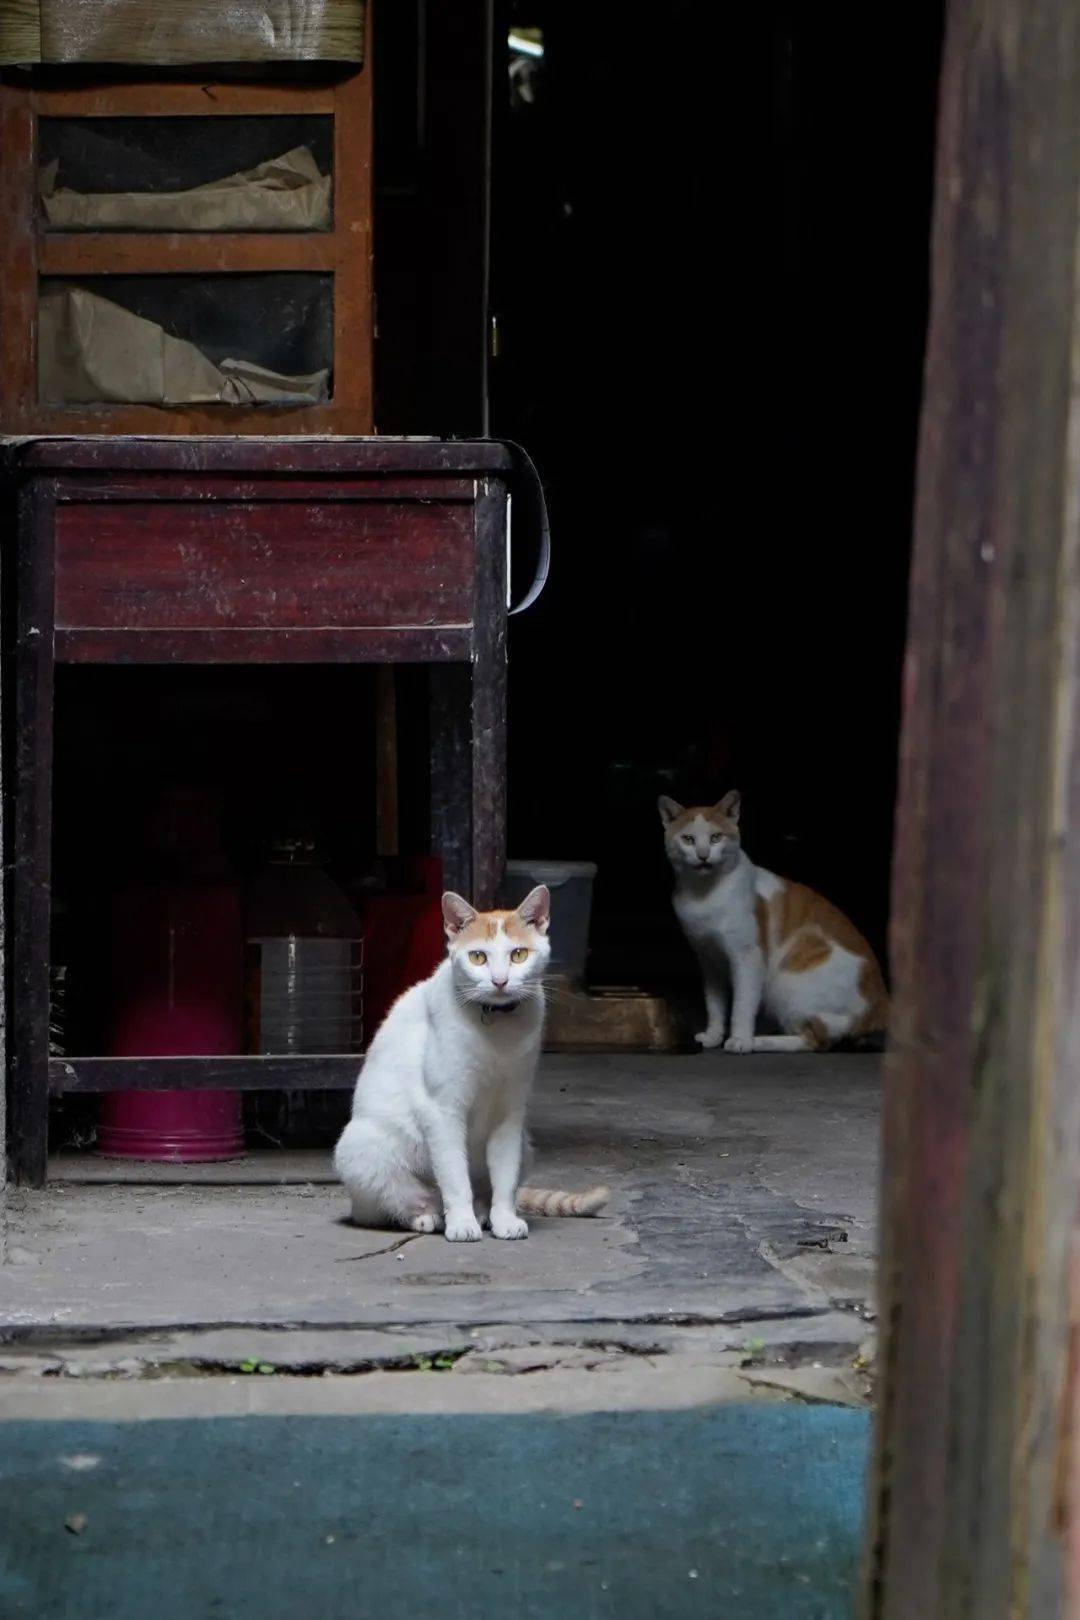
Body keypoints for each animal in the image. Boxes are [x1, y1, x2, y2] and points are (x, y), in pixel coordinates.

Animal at [333, 887, 608, 1237]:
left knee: (485, 1190)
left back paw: (481, 1213)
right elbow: (454, 1176)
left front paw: (503, 1219)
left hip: (526, 1144)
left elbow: (504, 1178)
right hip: (363, 1147)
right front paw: (462, 1223)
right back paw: (428, 1217)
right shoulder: (442, 1111)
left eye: (519, 955)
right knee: (392, 1204)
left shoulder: (510, 1114)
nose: (500, 981)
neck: (497, 1030)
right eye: (478, 957)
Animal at [663, 793, 893, 1049]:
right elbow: (714, 1005)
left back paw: (759, 1041)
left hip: (788, 983)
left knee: (815, 1040)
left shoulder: (748, 957)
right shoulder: (709, 962)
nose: (703, 855)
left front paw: (740, 1039)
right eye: (688, 839)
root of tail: (882, 1005)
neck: (703, 894)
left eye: (715, 837)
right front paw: (713, 1036)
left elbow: (742, 1004)